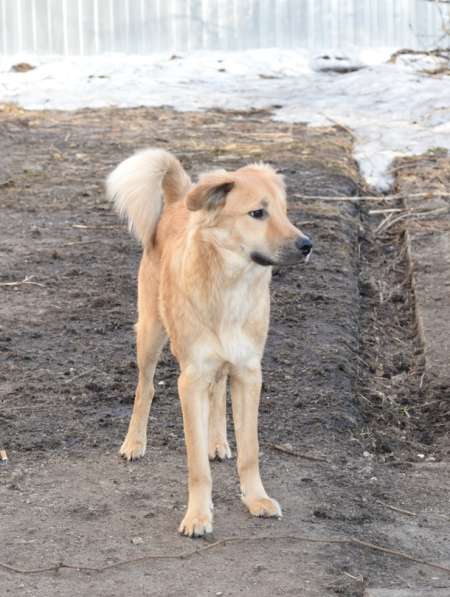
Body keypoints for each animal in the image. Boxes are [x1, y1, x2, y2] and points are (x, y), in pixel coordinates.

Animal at [107, 149, 312, 536]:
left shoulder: (248, 373)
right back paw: (134, 442)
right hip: (151, 334)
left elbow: (250, 450)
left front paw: (256, 498)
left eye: (285, 210)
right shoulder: (191, 379)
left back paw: (217, 441)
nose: (308, 245)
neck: (230, 287)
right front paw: (198, 516)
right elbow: (196, 464)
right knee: (146, 388)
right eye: (257, 213)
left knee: (218, 391)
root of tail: (177, 201)